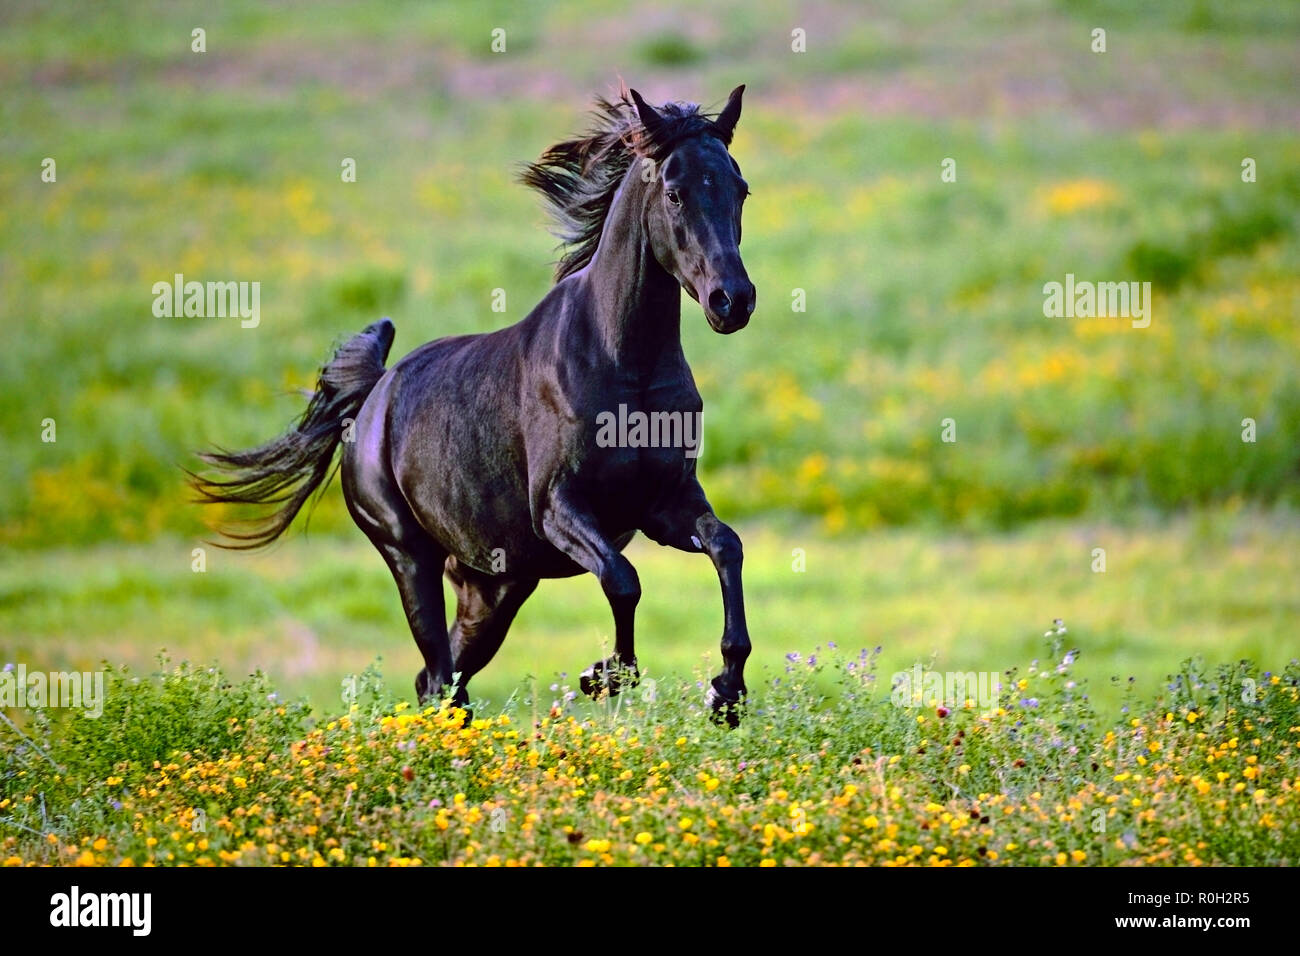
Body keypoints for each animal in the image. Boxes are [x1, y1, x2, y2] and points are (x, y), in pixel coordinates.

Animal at [195, 85, 759, 723]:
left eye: (739, 187)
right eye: (674, 191)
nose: (732, 300)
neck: (624, 363)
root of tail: (370, 400)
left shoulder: (665, 503)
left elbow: (726, 546)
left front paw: (726, 692)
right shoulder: (559, 507)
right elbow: (623, 579)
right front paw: (604, 676)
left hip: (495, 587)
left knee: (441, 681)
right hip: (410, 556)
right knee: (438, 674)